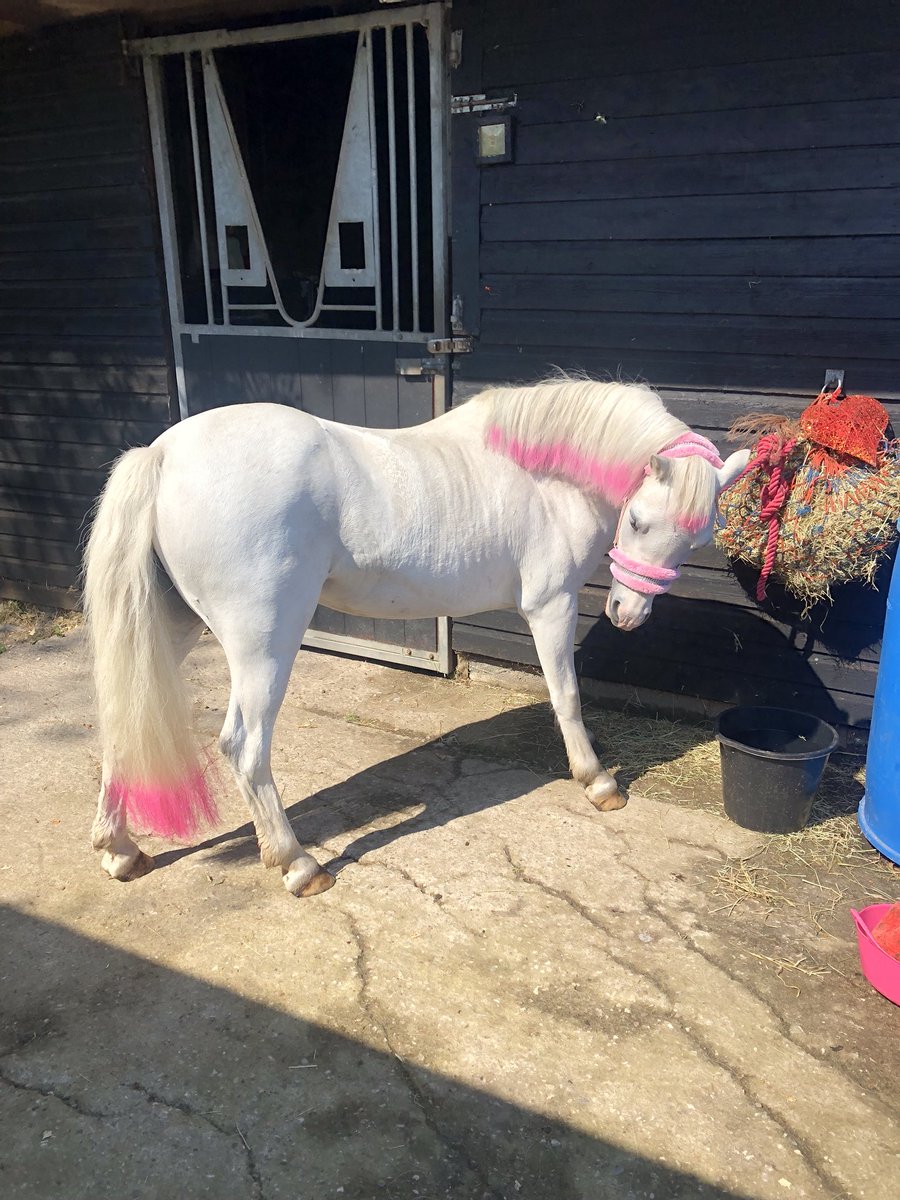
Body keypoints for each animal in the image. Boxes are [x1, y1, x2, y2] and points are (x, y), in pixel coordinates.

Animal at [84, 376, 749, 897]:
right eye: (637, 520)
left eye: (697, 538)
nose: (627, 614)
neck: (542, 477)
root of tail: (163, 454)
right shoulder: (550, 607)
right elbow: (567, 697)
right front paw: (598, 781)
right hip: (263, 645)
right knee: (245, 748)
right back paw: (299, 864)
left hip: (173, 625)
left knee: (125, 721)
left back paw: (120, 851)